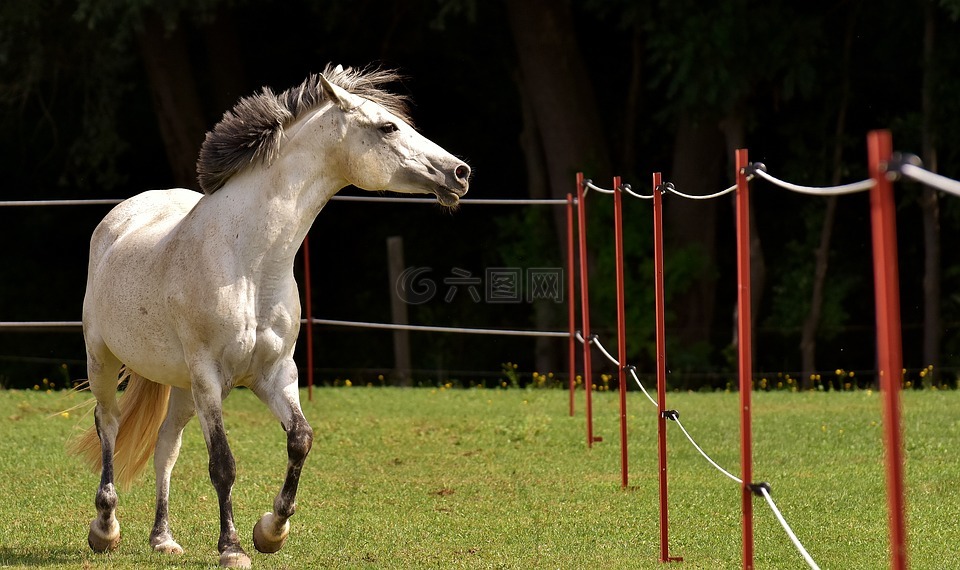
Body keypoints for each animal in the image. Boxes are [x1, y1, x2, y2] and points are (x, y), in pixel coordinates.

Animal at [71, 64, 468, 564]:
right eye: (388, 127)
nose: (460, 173)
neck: (249, 261)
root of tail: (121, 217)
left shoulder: (275, 372)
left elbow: (300, 439)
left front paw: (271, 531)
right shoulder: (210, 378)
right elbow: (223, 464)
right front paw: (232, 548)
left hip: (180, 385)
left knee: (166, 446)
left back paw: (163, 538)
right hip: (104, 359)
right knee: (109, 425)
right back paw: (105, 528)